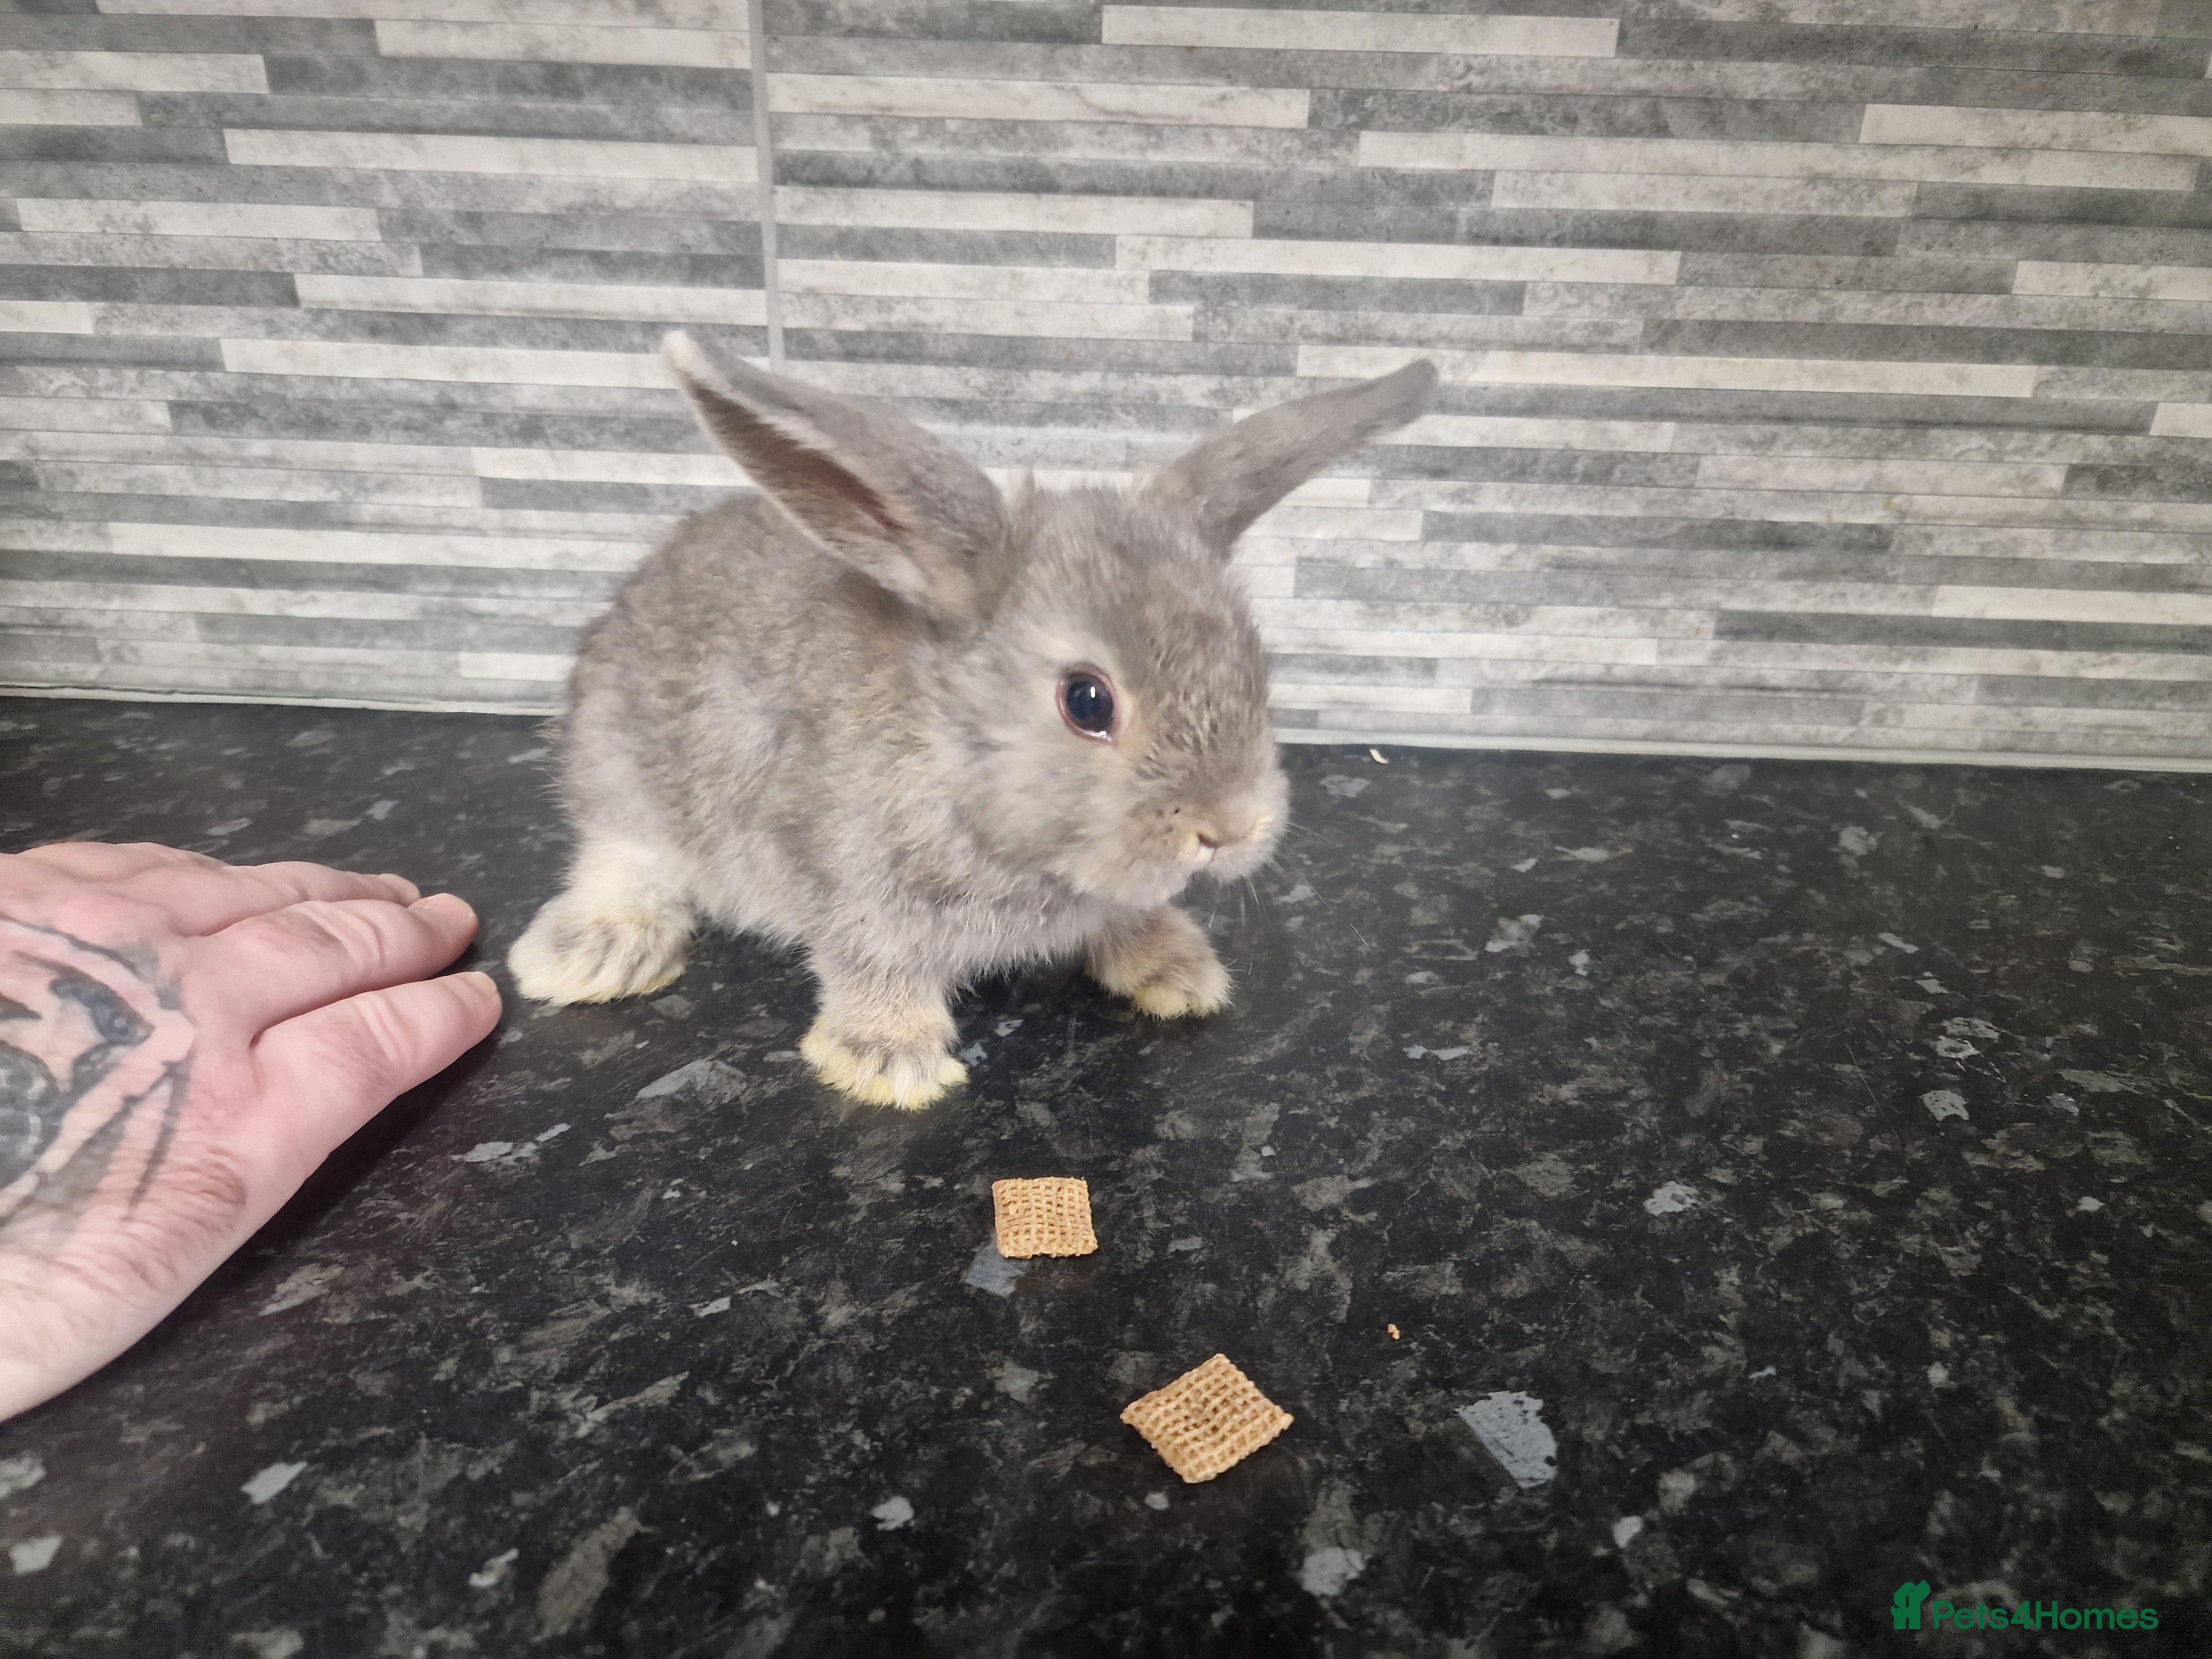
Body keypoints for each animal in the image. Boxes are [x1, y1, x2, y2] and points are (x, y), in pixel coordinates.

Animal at [509, 330, 1436, 1108]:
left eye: (1254, 664)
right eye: (1088, 701)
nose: (1232, 828)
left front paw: (1180, 975)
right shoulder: (853, 889)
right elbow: (870, 964)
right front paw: (890, 1063)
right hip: (619, 770)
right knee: (619, 859)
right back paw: (591, 955)